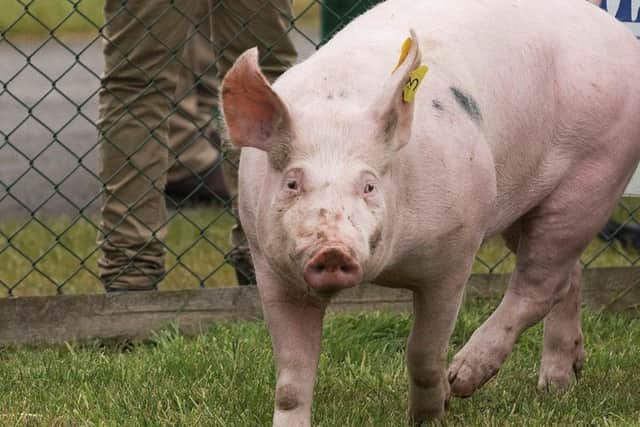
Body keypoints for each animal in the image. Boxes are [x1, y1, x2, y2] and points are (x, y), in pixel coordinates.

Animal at [221, 0, 640, 424]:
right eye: (292, 182)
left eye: (369, 185)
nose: (332, 250)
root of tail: (609, 27)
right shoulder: (271, 268)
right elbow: (291, 378)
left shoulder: (453, 254)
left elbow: (422, 353)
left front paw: (434, 410)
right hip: (526, 199)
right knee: (566, 276)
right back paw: (557, 386)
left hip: (595, 173)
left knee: (539, 284)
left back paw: (465, 376)